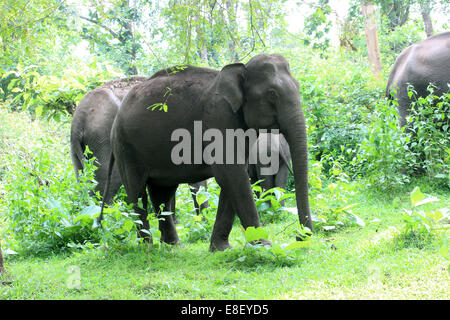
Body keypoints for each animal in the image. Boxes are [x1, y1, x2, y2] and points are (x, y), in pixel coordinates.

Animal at [103, 53, 312, 251]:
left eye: (299, 87)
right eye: (272, 94)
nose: (299, 237)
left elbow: (233, 177)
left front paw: (221, 249)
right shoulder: (219, 119)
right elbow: (231, 174)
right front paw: (264, 245)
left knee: (162, 193)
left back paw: (174, 246)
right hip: (126, 148)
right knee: (137, 193)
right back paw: (148, 247)